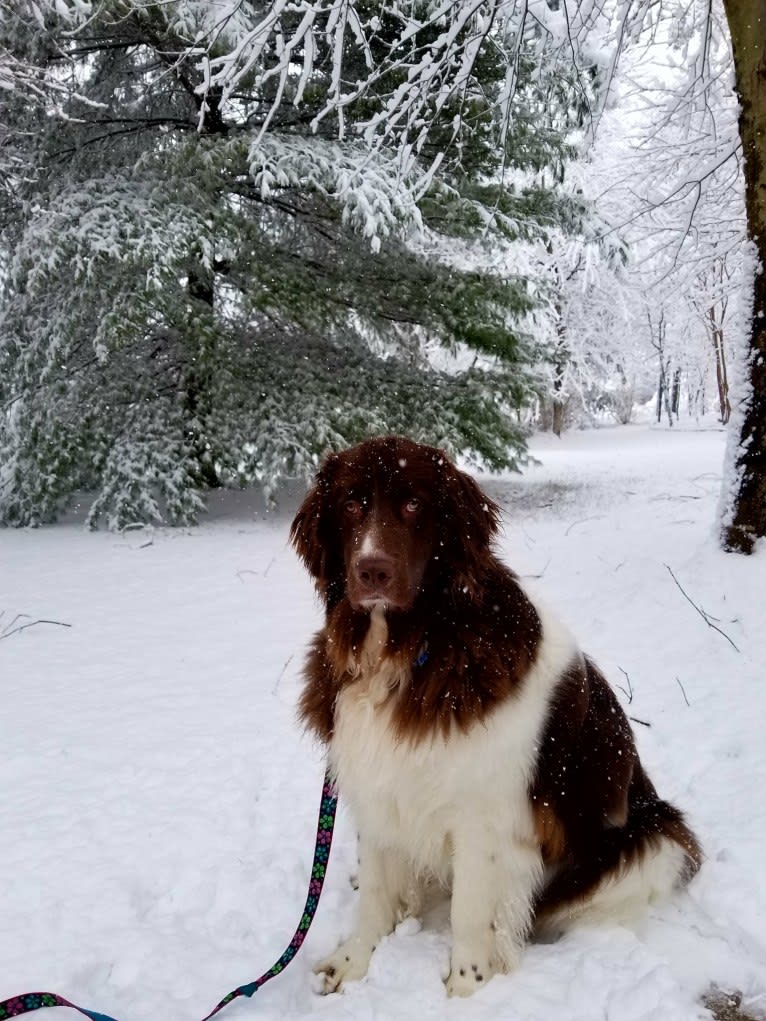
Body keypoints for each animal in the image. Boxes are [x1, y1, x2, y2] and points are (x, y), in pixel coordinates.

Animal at [290, 436, 706, 996]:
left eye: (414, 504)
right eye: (352, 503)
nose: (373, 570)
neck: (417, 650)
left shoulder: (486, 817)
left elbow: (471, 911)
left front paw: (467, 989)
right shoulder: (377, 782)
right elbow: (376, 892)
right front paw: (352, 964)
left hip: (652, 839)